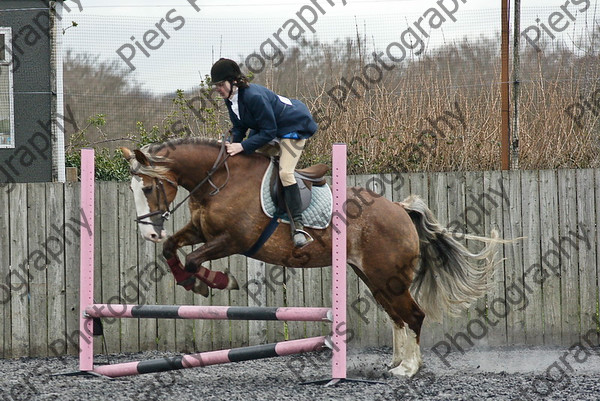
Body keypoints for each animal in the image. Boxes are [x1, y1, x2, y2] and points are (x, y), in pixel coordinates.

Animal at [120, 137, 502, 376]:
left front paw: (213, 282)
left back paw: (409, 370)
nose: (148, 233)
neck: (218, 181)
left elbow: (194, 260)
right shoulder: (201, 232)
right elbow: (173, 249)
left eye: (149, 187)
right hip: (376, 278)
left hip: (387, 277)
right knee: (397, 317)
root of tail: (400, 209)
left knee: (414, 315)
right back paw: (395, 364)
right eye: (133, 190)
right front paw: (189, 280)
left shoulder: (232, 240)